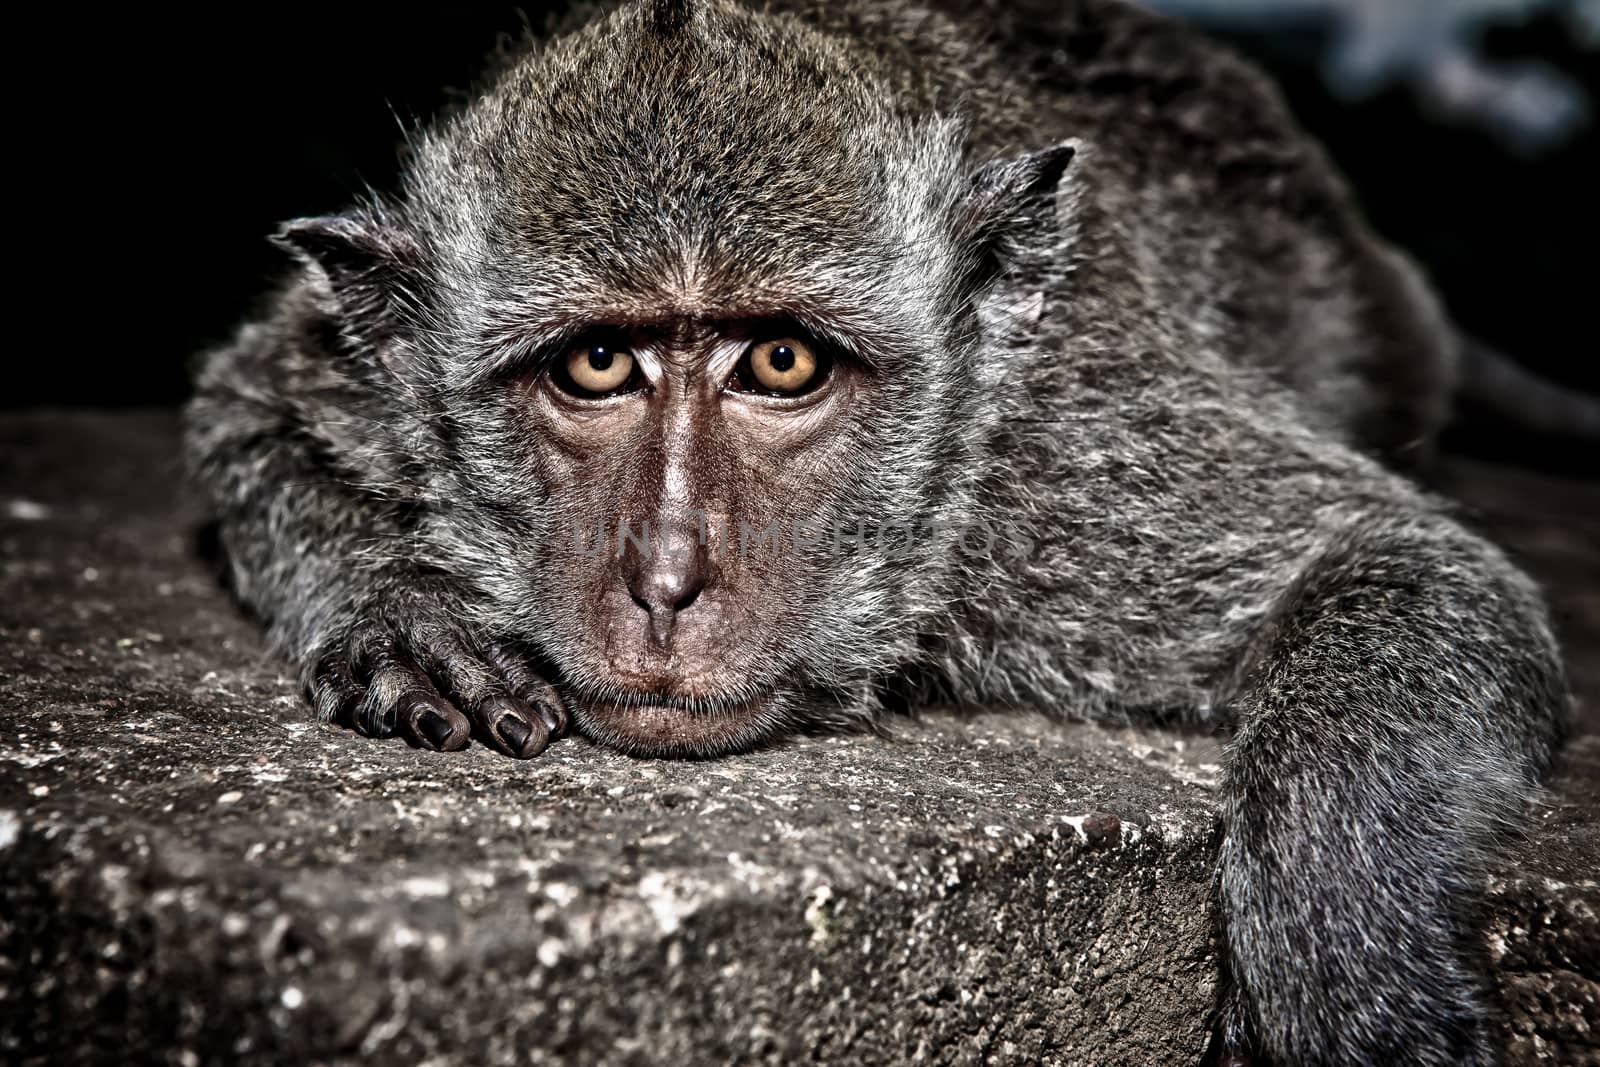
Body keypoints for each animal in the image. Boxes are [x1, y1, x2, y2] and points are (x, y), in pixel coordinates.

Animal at [187, 2, 1574, 1067]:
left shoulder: (1068, 476)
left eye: (781, 363)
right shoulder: (346, 369)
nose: (666, 580)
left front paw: (1341, 967)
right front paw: (402, 611)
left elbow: (1402, 562)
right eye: (595, 365)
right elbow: (244, 406)